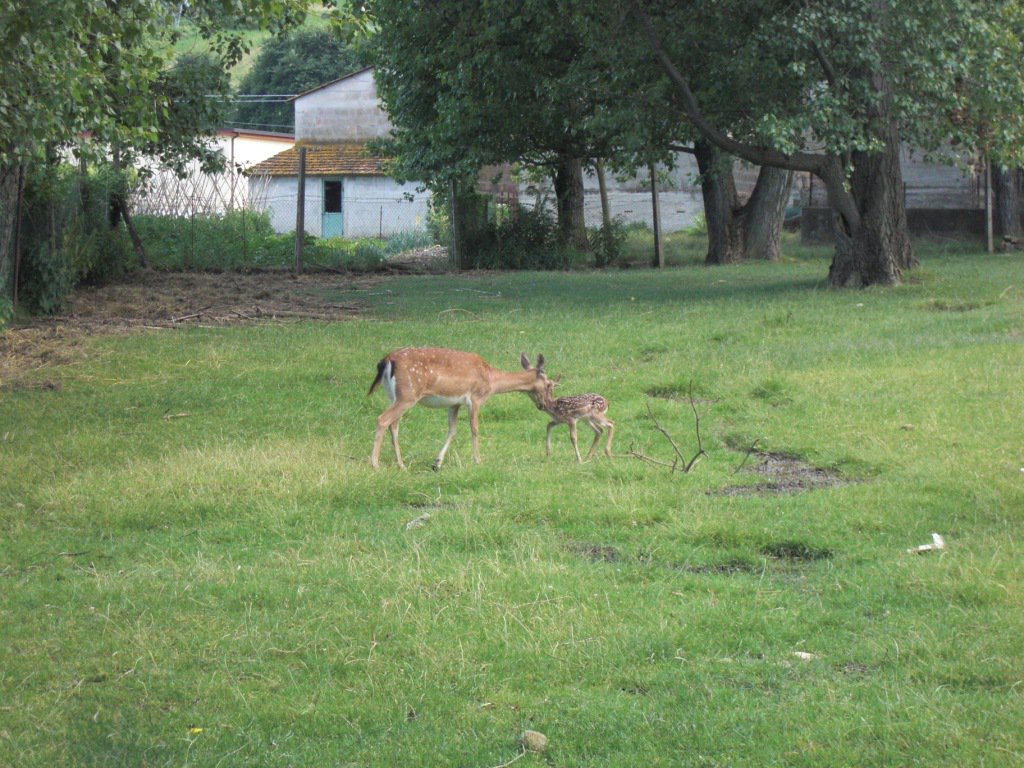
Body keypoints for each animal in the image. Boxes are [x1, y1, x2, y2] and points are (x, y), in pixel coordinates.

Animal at [366, 348, 544, 468]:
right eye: (548, 384)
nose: (543, 404)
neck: (491, 380)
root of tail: (386, 360)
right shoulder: (475, 397)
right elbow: (474, 428)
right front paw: (478, 460)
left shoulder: (454, 403)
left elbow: (452, 430)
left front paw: (437, 463)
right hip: (407, 394)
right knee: (382, 419)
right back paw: (375, 464)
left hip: (393, 395)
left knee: (393, 425)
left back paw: (401, 464)